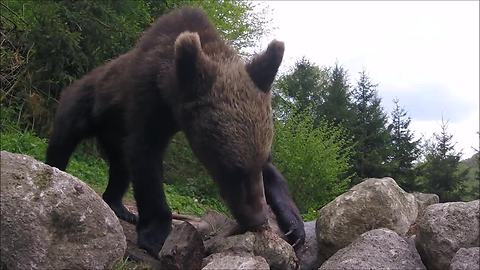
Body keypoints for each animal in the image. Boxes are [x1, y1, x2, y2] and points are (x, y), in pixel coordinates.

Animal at [47, 5, 306, 255]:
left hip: (114, 133)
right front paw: (156, 236)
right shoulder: (147, 102)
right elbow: (147, 161)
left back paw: (120, 207)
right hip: (88, 104)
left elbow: (275, 177)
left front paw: (295, 227)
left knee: (120, 165)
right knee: (64, 139)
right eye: (230, 168)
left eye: (261, 162)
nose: (257, 220)